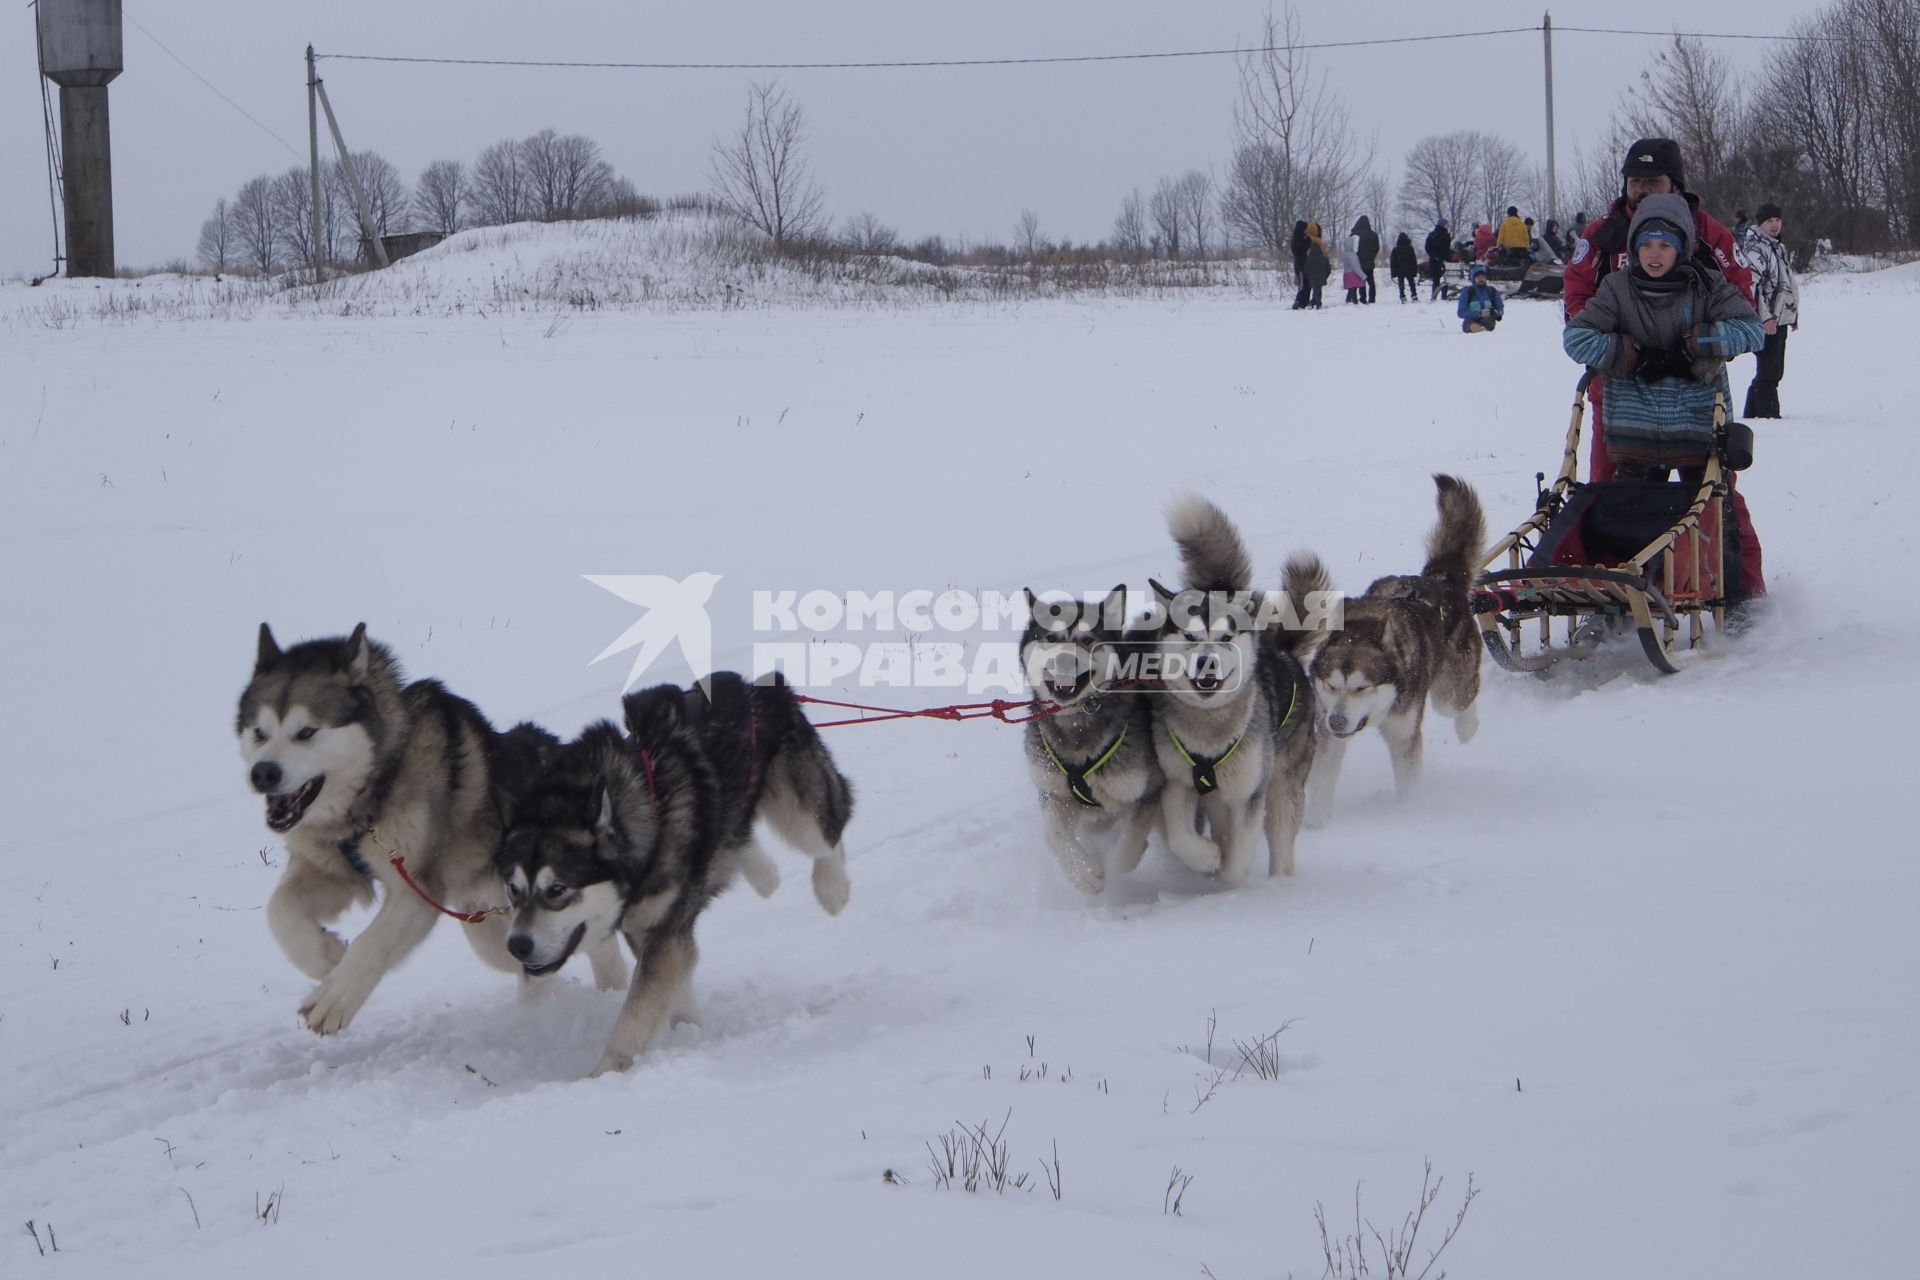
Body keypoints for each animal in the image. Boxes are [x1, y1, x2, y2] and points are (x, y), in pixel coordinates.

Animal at [233, 625, 576, 1036]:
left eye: (306, 732)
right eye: (259, 732)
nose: (263, 773)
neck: (374, 789)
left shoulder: (417, 887)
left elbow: (375, 940)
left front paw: (336, 997)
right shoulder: (332, 867)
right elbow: (279, 910)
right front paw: (324, 955)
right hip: (489, 931)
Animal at [495, 675, 856, 1074]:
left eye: (558, 889)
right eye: (513, 889)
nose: (517, 945)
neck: (645, 816)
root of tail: (760, 683)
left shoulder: (662, 931)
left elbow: (635, 1017)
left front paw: (603, 1073)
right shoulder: (648, 929)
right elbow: (673, 990)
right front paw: (690, 1031)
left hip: (800, 815)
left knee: (832, 828)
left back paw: (832, 889)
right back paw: (763, 873)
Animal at [1144, 498, 1328, 882]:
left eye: (1226, 637)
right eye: (1190, 636)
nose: (1206, 664)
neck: (1209, 731)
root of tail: (1283, 651)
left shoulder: (1248, 794)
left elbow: (1238, 857)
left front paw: (1228, 880)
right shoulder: (1178, 784)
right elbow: (1181, 836)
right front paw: (1205, 858)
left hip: (1282, 785)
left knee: (1281, 836)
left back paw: (1280, 881)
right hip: (1216, 797)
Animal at [1305, 470, 1482, 821]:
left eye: (1361, 688)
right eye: (1331, 686)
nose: (1338, 722)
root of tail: (1441, 579)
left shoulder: (1403, 733)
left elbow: (1408, 781)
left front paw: (1407, 814)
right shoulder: (1328, 732)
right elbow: (1321, 784)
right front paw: (1314, 822)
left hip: (1448, 693)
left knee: (1463, 698)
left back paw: (1468, 727)